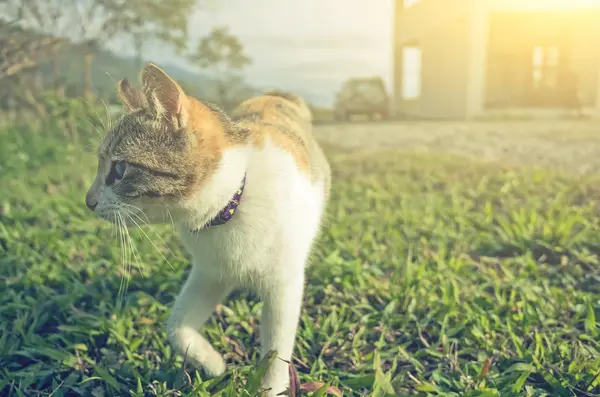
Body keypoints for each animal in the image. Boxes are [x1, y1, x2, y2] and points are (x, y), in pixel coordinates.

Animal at [85, 63, 330, 394]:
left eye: (119, 169)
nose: (88, 201)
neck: (231, 207)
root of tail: (276, 95)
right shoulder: (210, 272)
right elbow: (175, 327)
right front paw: (214, 364)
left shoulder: (284, 283)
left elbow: (276, 350)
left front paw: (271, 387)